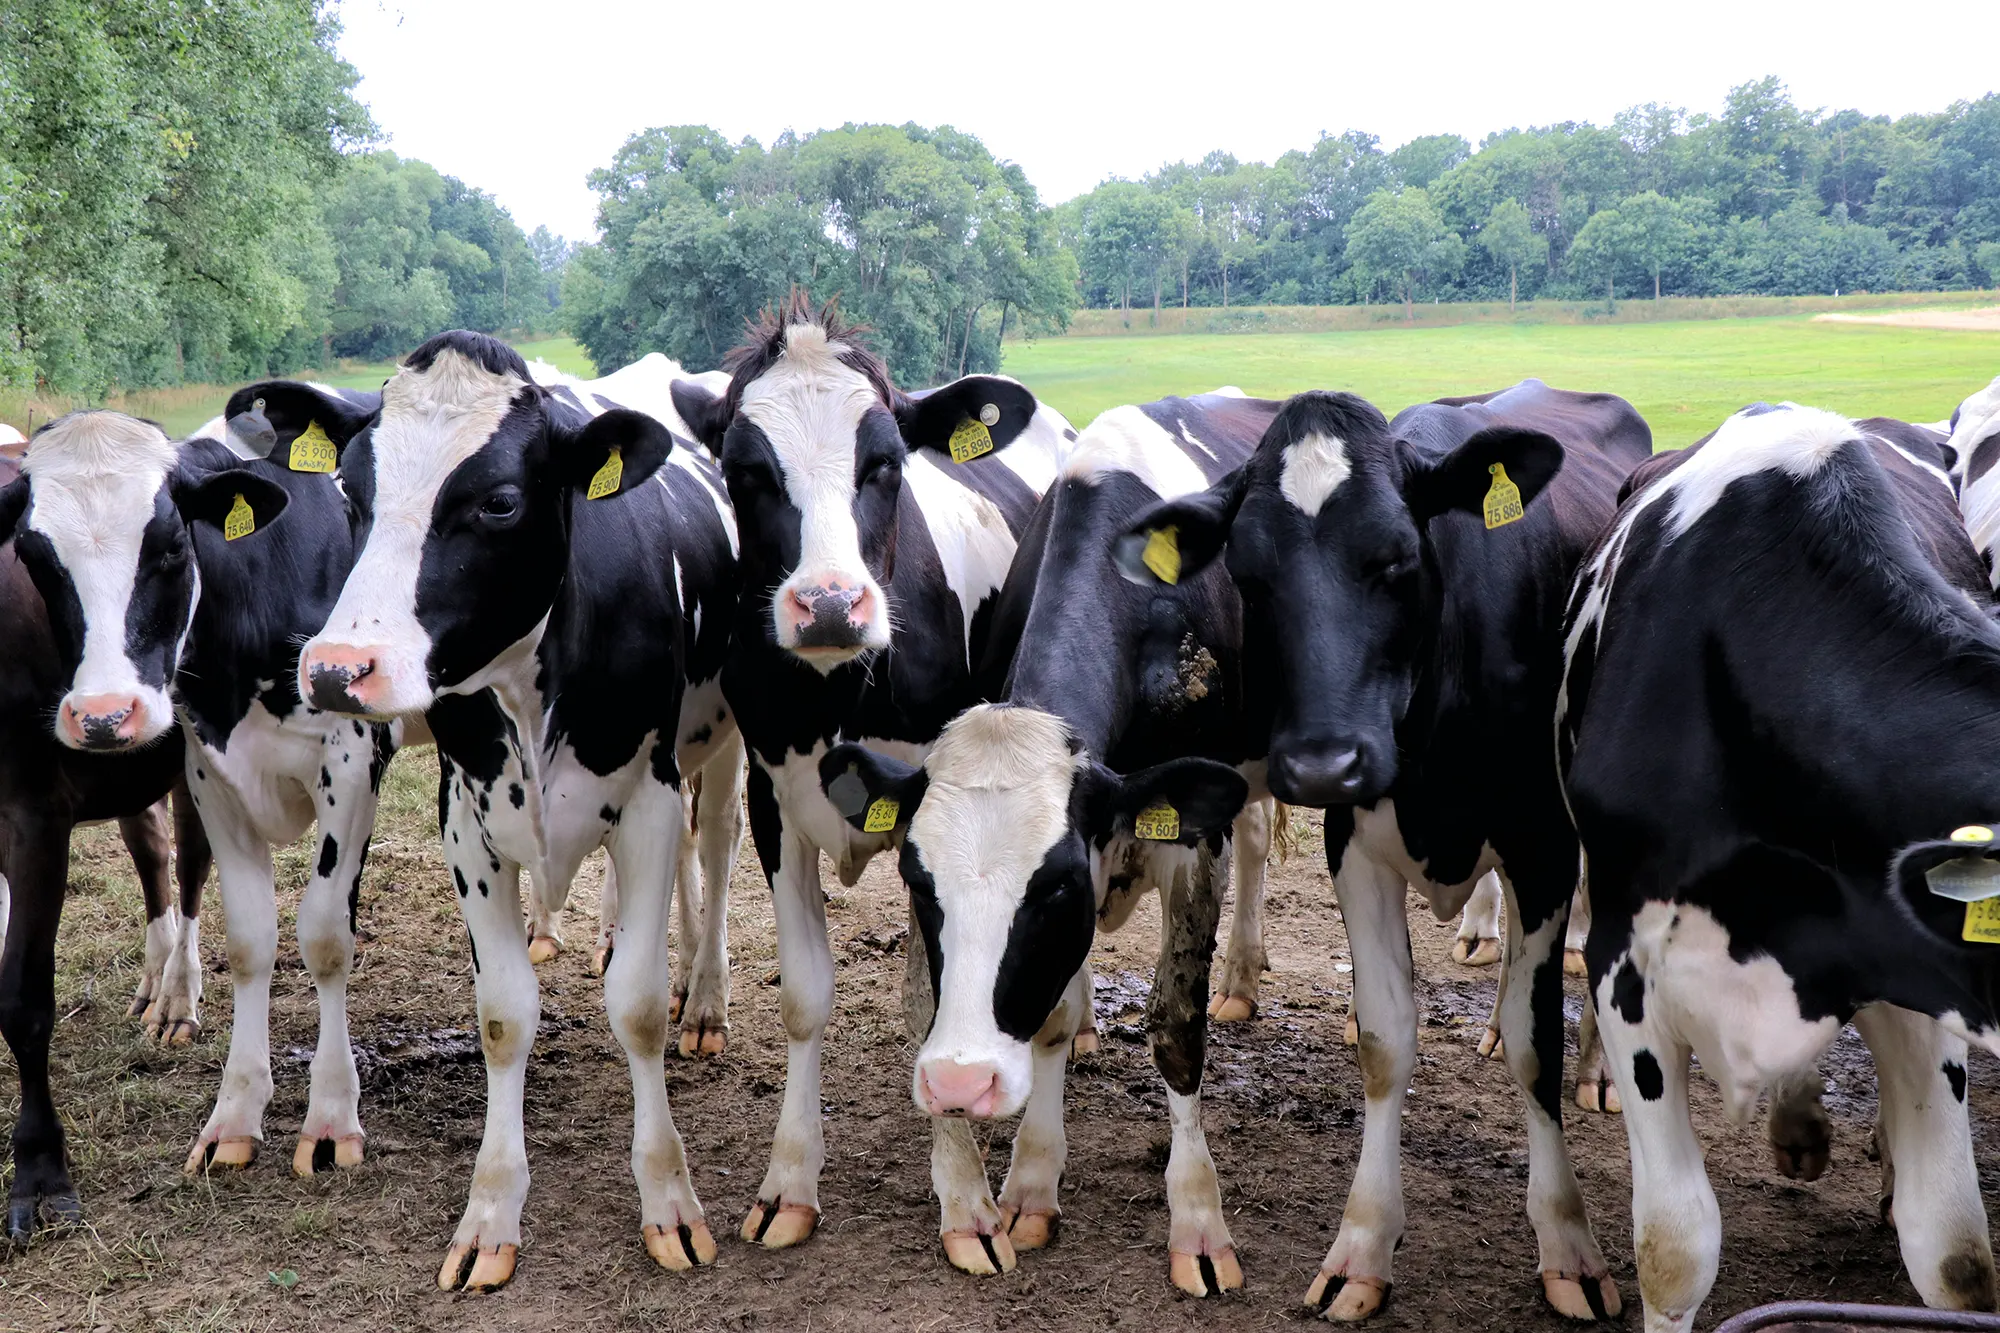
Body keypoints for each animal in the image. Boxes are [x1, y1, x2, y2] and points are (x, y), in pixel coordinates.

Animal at [280, 324, 744, 1288]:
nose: (338, 668)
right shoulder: (470, 818)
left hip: (717, 747)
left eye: (498, 502)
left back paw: (706, 995)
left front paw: (669, 1200)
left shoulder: (648, 797)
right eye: (350, 489)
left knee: (714, 848)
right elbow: (501, 1016)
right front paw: (490, 1212)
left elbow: (639, 1005)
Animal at [668, 288, 1080, 1248]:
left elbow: (935, 993)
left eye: (885, 463)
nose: (828, 604)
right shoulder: (777, 799)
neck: (837, 695)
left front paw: (965, 1199)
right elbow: (806, 994)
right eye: (745, 471)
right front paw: (789, 1180)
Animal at [816, 386, 1272, 1288]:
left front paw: (1199, 1222)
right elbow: (1052, 1013)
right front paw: (1030, 1182)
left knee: (1260, 837)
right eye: (916, 878)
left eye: (1053, 883)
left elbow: (1177, 1025)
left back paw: (1242, 976)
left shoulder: (1191, 841)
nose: (961, 1082)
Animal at [1120, 376, 1648, 1320]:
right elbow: (1385, 1039)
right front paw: (1362, 1244)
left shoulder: (1543, 844)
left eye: (1398, 557)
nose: (1320, 761)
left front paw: (1569, 1242)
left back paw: (1595, 1068)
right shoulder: (1355, 850)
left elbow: (1535, 1044)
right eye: (1248, 575)